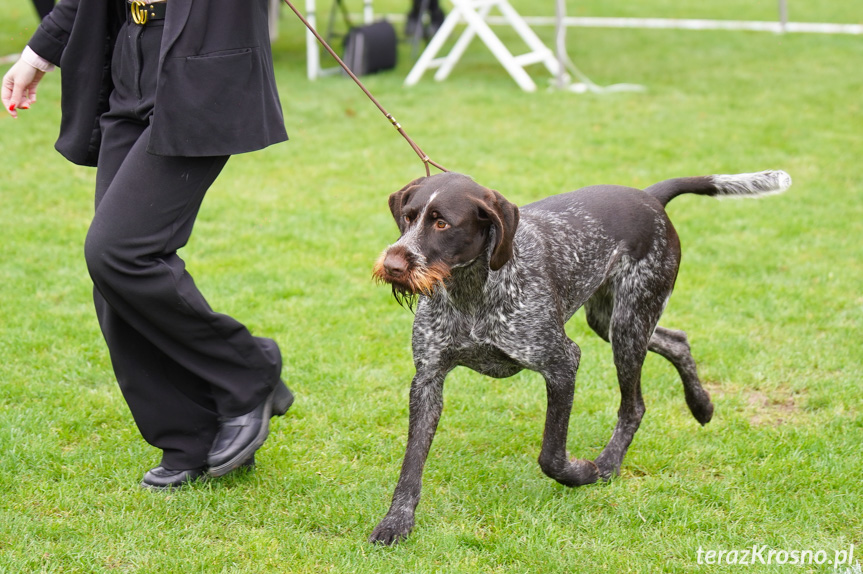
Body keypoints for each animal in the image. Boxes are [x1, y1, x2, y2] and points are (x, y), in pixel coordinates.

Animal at [368, 170, 792, 544]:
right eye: (408, 217)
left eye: (442, 224)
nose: (392, 265)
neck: (470, 292)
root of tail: (649, 197)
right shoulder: (428, 379)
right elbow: (411, 463)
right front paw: (397, 521)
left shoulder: (561, 363)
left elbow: (551, 456)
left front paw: (582, 474)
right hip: (611, 320)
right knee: (677, 340)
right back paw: (700, 405)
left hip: (629, 324)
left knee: (634, 405)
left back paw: (609, 464)